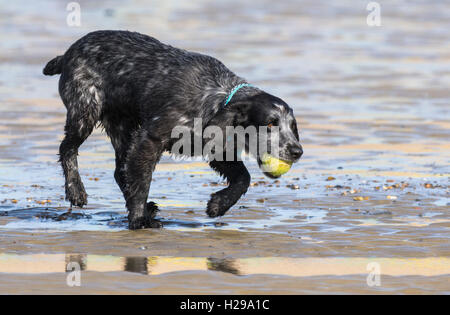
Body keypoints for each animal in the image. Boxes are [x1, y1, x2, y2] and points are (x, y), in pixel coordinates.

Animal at [43, 30, 302, 231]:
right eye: (270, 123)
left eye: (293, 126)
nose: (297, 151)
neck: (216, 98)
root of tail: (67, 54)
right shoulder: (149, 139)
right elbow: (141, 184)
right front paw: (138, 220)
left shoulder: (214, 148)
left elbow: (243, 179)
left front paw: (218, 204)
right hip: (86, 111)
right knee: (68, 149)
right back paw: (76, 191)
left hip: (121, 126)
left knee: (120, 170)